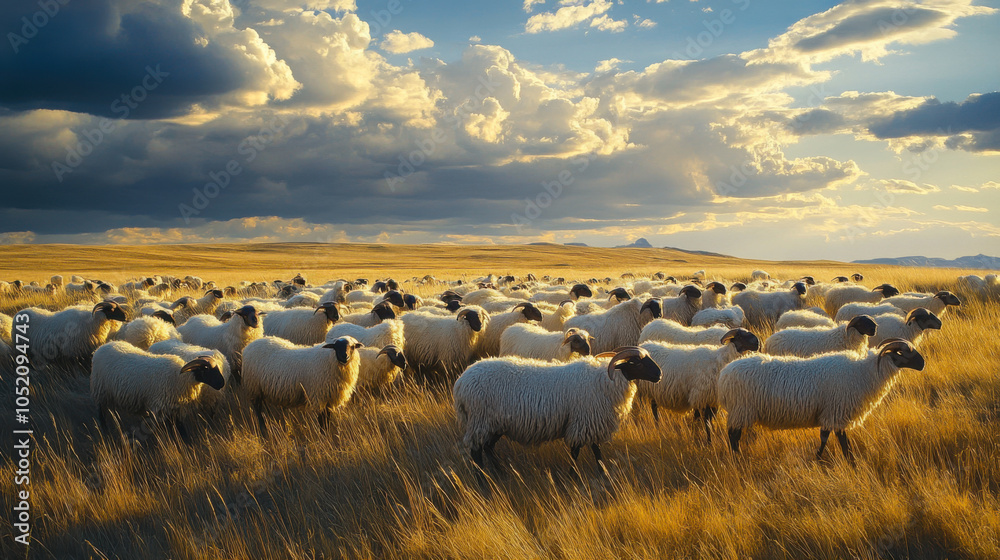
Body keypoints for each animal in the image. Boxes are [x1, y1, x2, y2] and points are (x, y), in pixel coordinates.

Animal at [90, 341, 226, 439]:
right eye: (207, 370)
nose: (222, 383)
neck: (180, 378)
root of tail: (101, 347)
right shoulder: (162, 408)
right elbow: (172, 429)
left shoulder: (175, 408)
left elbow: (180, 429)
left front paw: (187, 444)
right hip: (100, 390)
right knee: (100, 412)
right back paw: (105, 431)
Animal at [453, 346, 661, 471]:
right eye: (636, 362)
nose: (659, 374)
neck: (605, 380)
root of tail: (461, 383)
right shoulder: (584, 422)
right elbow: (579, 451)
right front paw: (575, 475)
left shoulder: (589, 423)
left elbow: (594, 450)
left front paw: (602, 473)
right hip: (481, 420)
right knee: (476, 452)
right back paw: (484, 482)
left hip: (493, 424)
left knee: (488, 447)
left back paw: (500, 474)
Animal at [718, 339, 925, 459]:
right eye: (905, 353)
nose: (923, 364)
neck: (864, 372)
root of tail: (724, 376)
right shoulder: (837, 411)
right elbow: (837, 439)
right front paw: (844, 461)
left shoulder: (832, 412)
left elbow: (830, 437)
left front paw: (824, 458)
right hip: (741, 409)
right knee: (733, 436)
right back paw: (737, 458)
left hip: (740, 410)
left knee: (734, 435)